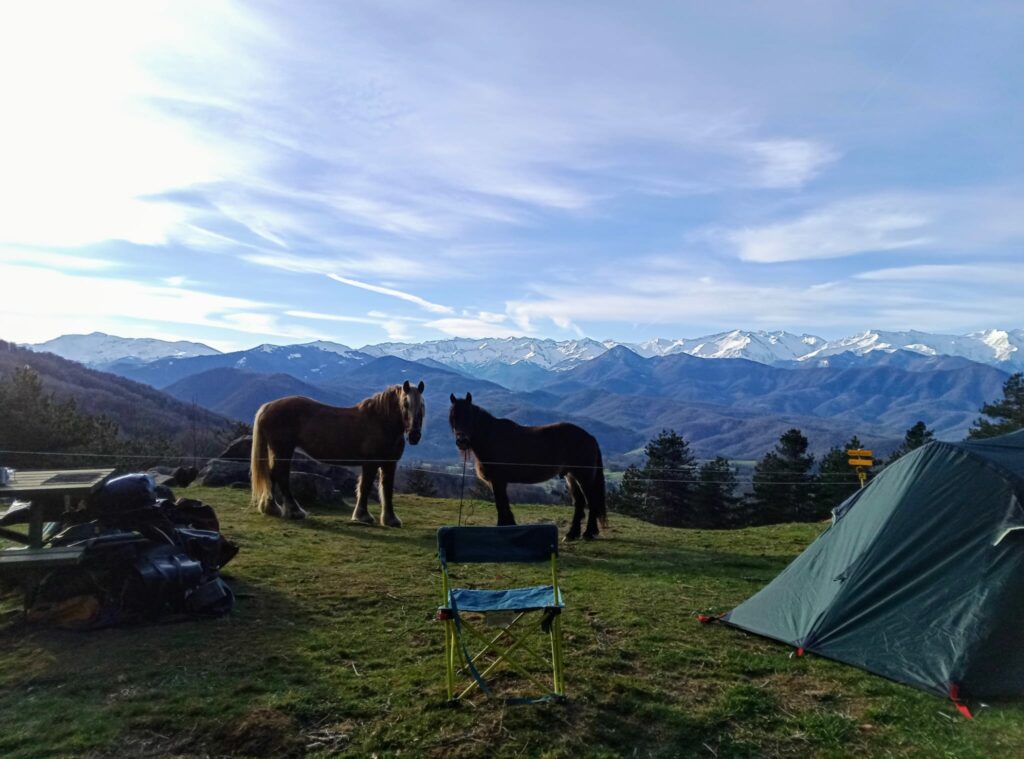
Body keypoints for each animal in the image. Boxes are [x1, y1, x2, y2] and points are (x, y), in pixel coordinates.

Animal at [250, 381, 423, 524]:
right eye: (405, 404)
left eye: (421, 405)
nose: (414, 435)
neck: (380, 422)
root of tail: (268, 406)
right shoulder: (370, 464)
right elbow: (365, 487)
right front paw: (363, 516)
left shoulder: (390, 464)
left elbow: (387, 490)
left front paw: (391, 519)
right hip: (283, 449)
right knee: (281, 475)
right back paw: (294, 511)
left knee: (273, 474)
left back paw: (271, 508)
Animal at [450, 391, 606, 540]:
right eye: (453, 417)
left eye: (469, 416)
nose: (462, 441)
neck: (492, 438)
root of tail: (590, 437)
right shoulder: (498, 482)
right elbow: (504, 503)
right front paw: (510, 525)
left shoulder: (498, 481)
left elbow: (500, 504)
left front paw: (502, 527)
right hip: (571, 476)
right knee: (579, 503)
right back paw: (572, 534)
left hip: (584, 477)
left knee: (592, 501)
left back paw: (588, 533)